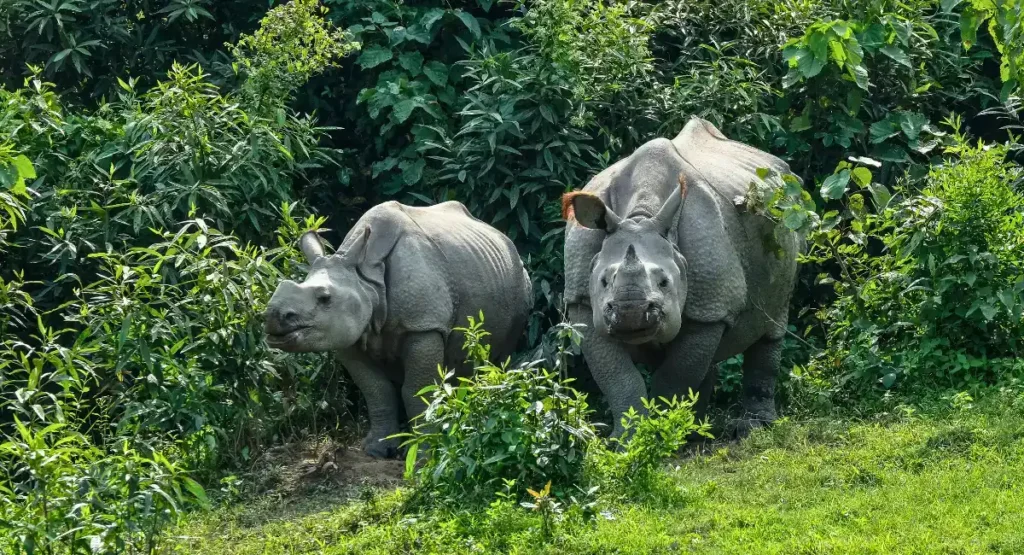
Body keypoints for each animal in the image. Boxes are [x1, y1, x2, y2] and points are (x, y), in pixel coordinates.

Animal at [264, 201, 533, 458]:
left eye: (325, 298)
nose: (273, 317)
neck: (367, 280)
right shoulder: (347, 333)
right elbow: (376, 390)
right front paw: (377, 450)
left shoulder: (424, 325)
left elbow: (416, 391)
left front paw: (424, 453)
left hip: (520, 279)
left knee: (501, 354)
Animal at [562, 117, 803, 438]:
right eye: (603, 281)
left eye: (665, 282)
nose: (630, 312)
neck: (640, 215)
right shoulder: (582, 300)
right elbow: (618, 377)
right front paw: (625, 439)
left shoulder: (710, 306)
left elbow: (675, 375)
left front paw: (665, 434)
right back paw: (698, 429)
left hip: (790, 218)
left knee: (772, 325)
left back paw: (750, 428)